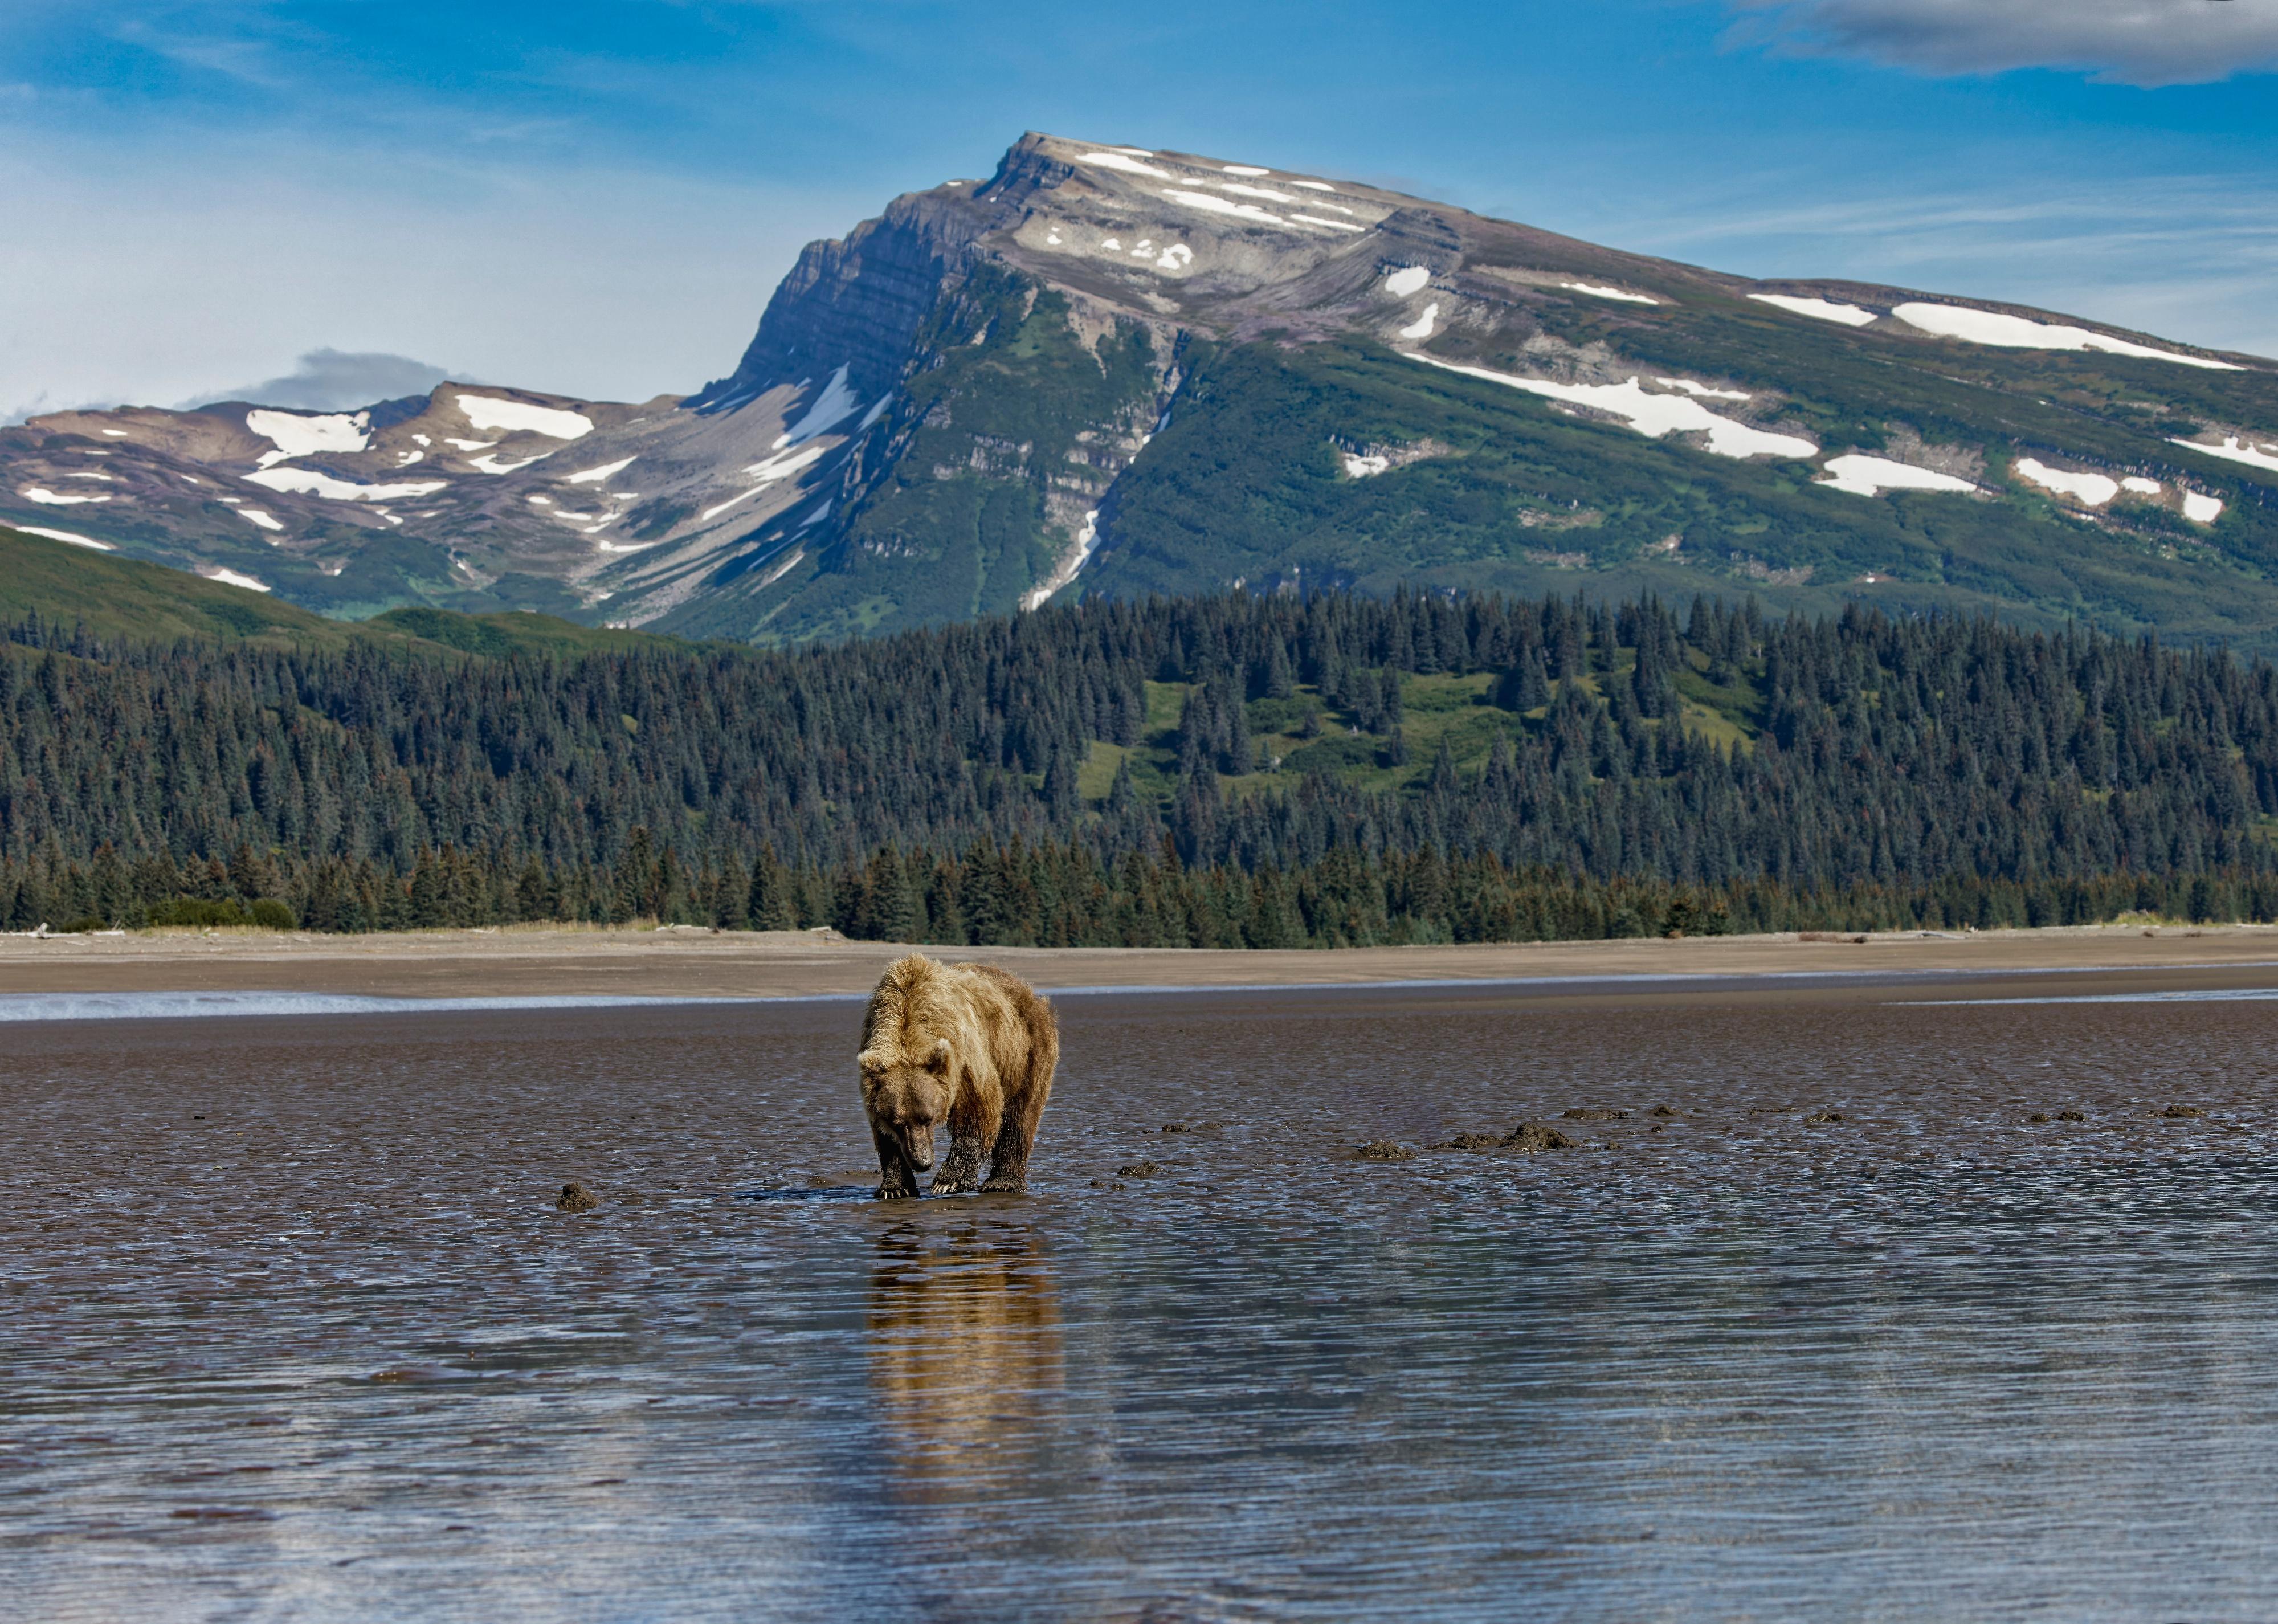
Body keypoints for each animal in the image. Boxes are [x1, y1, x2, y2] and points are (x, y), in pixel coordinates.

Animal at [858, 954, 1060, 1200]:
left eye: (928, 1119)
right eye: (898, 1123)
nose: (923, 1163)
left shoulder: (963, 1057)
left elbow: (978, 1108)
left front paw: (948, 1181)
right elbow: (886, 1138)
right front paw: (895, 1188)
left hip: (1025, 1051)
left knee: (1020, 1116)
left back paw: (1003, 1182)